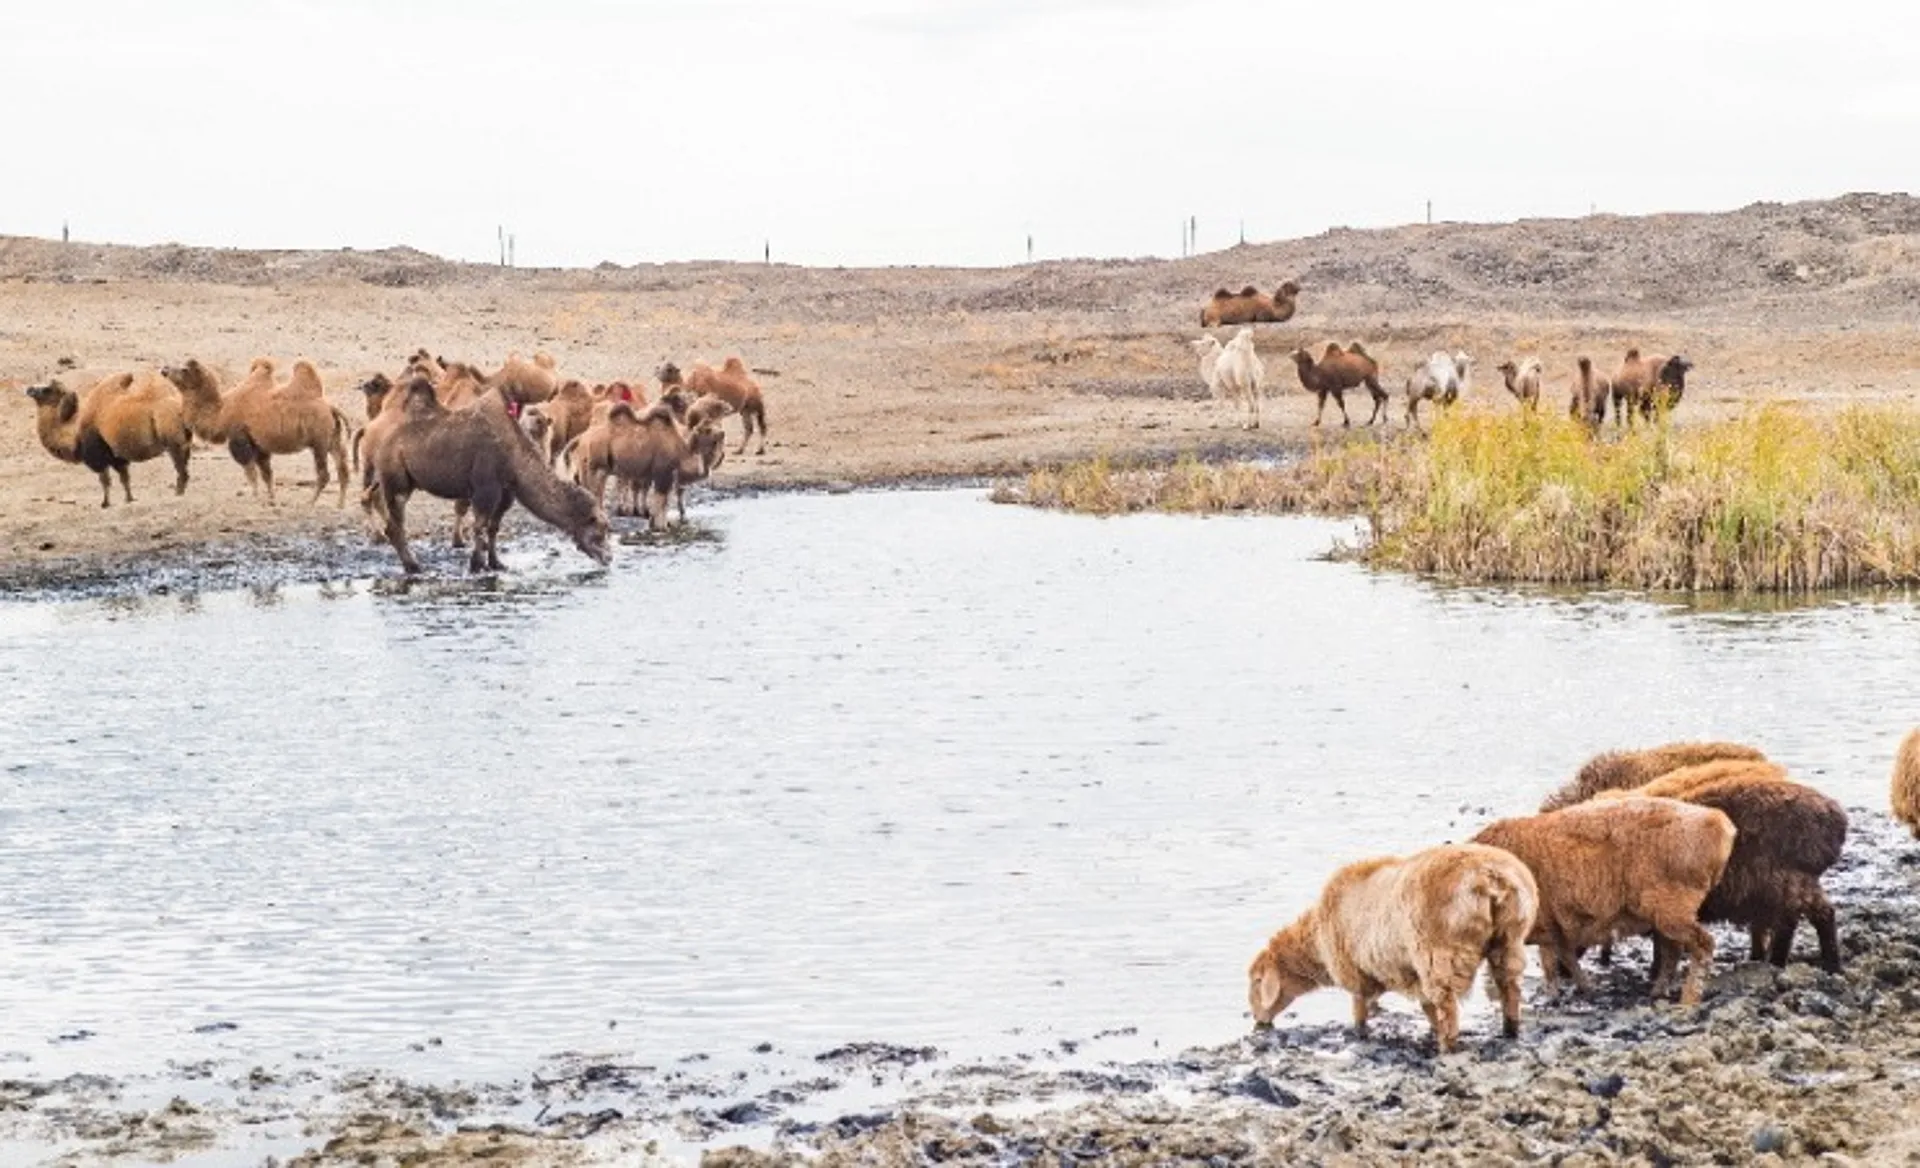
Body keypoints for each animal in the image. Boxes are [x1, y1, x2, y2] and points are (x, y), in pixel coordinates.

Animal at [24, 374, 192, 506]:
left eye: (47, 389)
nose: (29, 389)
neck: (75, 432)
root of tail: (178, 402)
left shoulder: (97, 456)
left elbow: (105, 480)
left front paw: (105, 503)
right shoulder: (117, 456)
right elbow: (125, 479)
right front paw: (129, 499)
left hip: (172, 438)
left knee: (180, 467)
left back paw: (178, 493)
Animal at [361, 380, 610, 574]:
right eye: (600, 530)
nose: (609, 558)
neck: (514, 456)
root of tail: (373, 432)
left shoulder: (506, 492)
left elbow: (493, 527)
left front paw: (496, 563)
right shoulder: (485, 488)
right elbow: (479, 525)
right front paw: (476, 565)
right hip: (395, 478)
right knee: (396, 523)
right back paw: (413, 566)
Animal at [1246, 843, 1537, 1053]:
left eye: (1256, 983)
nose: (1258, 1022)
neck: (1316, 940)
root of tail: (1491, 878)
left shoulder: (1356, 974)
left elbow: (1360, 1013)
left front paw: (1360, 1036)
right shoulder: (1410, 973)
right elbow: (1426, 1007)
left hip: (1438, 954)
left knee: (1448, 1009)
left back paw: (1447, 1048)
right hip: (1510, 939)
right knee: (1510, 989)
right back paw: (1510, 1032)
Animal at [1471, 796, 1735, 1006]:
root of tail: (1718, 822)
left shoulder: (1545, 923)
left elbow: (1553, 962)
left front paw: (1559, 993)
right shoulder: (1552, 927)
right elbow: (1561, 958)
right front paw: (1582, 988)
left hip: (1672, 909)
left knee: (1703, 945)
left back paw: (1688, 998)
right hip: (1666, 914)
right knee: (1674, 951)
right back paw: (1659, 991)